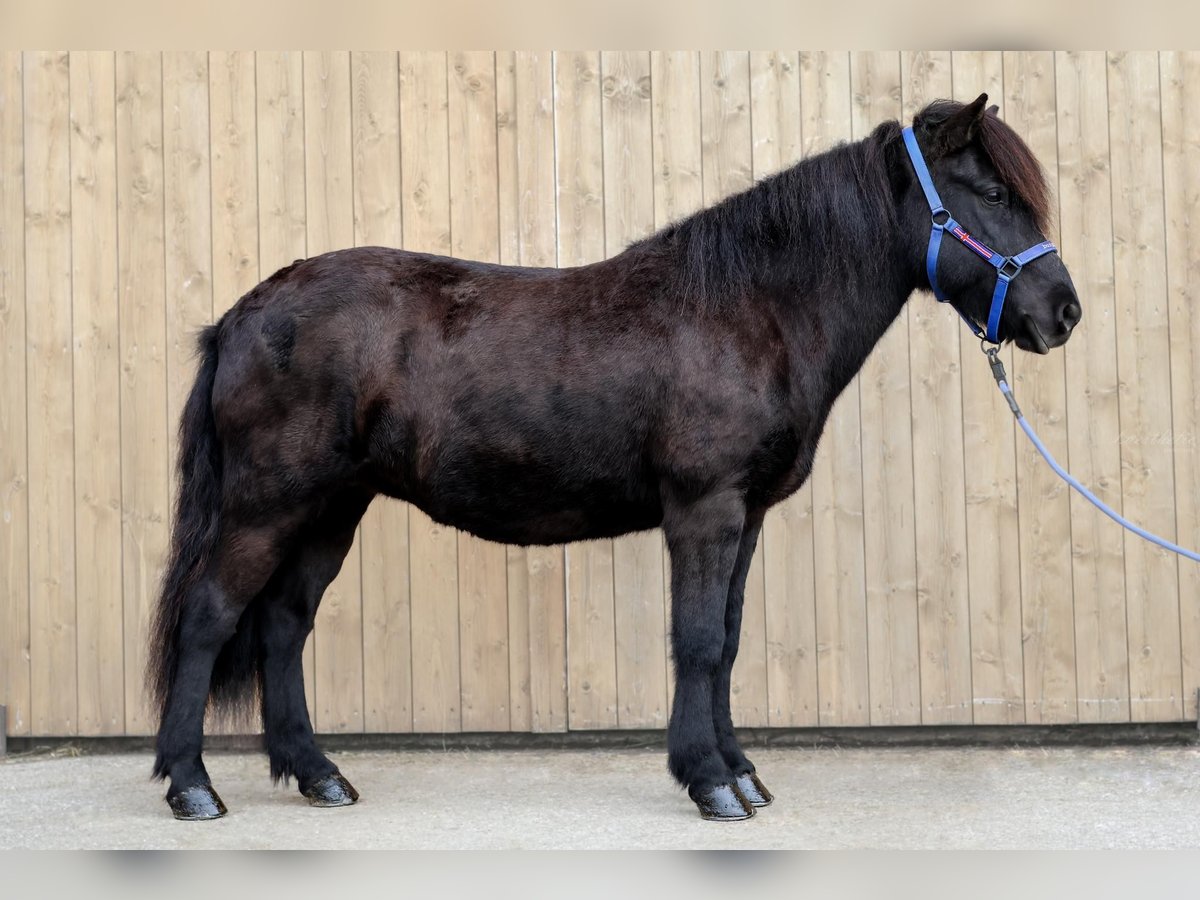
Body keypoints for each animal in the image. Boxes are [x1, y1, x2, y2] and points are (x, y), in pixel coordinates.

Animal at [147, 93, 1080, 825]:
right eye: (991, 191)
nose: (1063, 312)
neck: (750, 309)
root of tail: (239, 315)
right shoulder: (705, 510)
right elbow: (697, 641)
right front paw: (710, 783)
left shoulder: (745, 519)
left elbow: (728, 641)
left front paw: (741, 771)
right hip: (267, 506)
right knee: (210, 616)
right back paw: (191, 786)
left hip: (331, 509)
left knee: (282, 626)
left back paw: (318, 775)